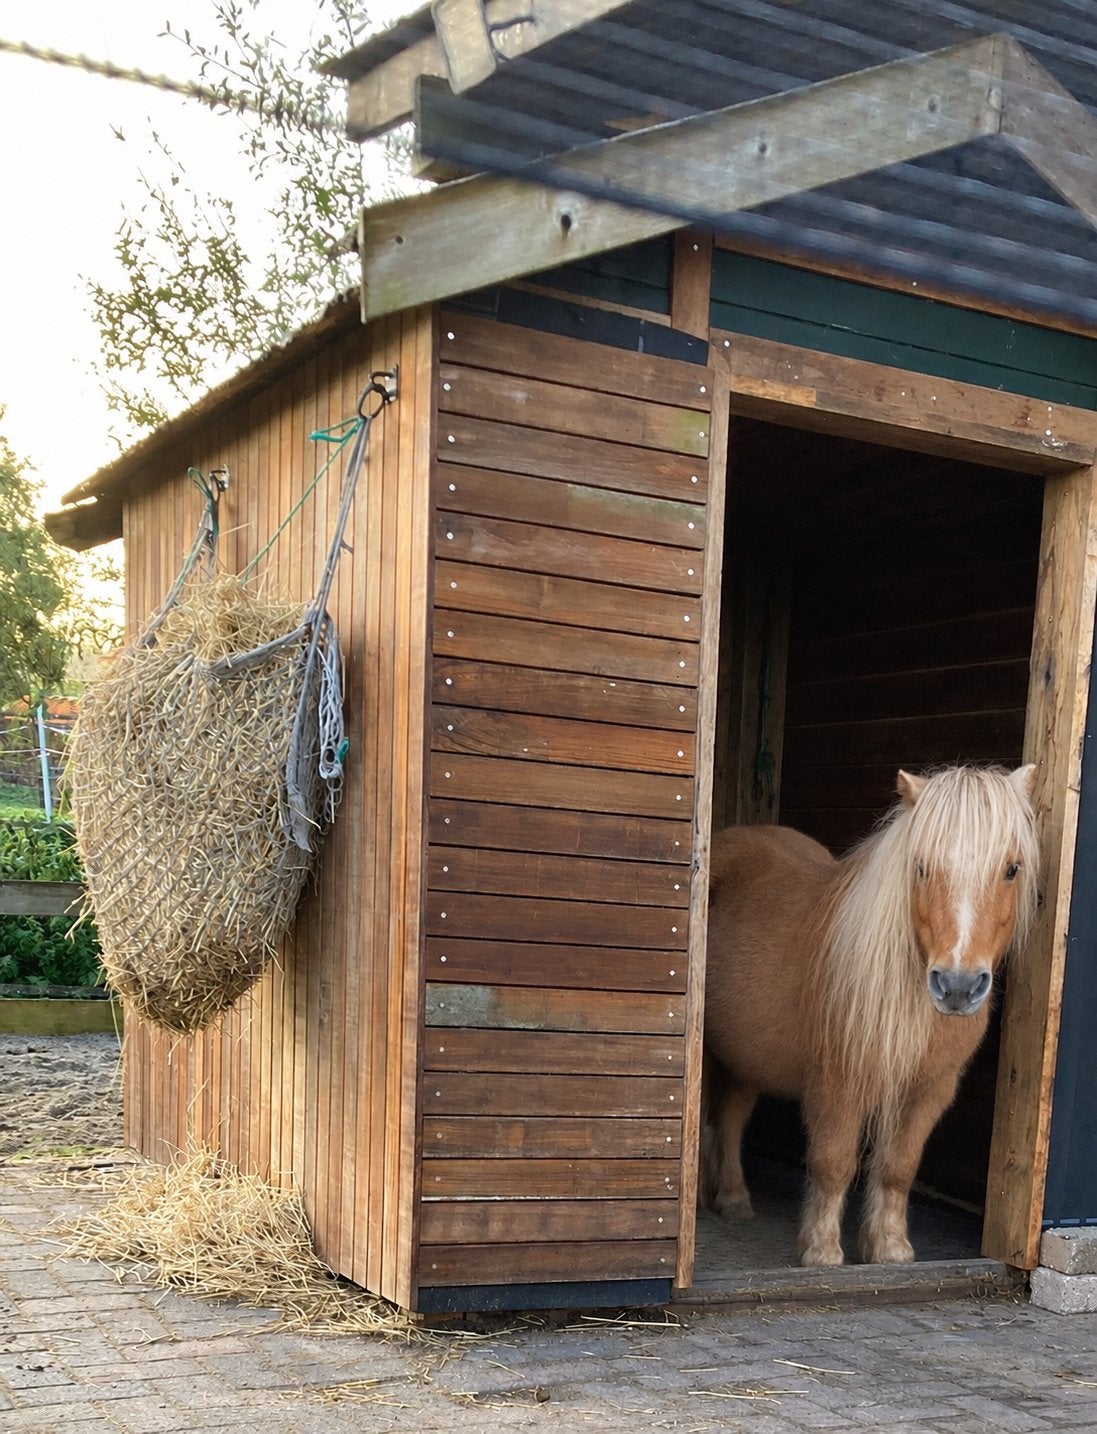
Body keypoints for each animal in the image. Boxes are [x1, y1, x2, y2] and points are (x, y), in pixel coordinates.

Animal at [701, 764, 1040, 1267]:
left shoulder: (928, 1090)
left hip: (746, 1056)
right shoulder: (838, 1084)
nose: (957, 986)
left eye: (1011, 869)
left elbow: (899, 1168)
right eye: (920, 866)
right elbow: (834, 1163)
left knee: (731, 1118)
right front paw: (822, 1250)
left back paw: (733, 1198)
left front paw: (890, 1248)